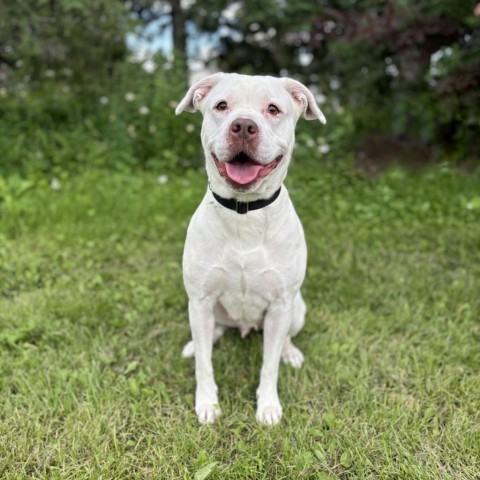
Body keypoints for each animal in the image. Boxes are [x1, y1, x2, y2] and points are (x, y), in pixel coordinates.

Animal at [176, 71, 326, 424]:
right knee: (210, 335)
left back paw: (290, 352)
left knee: (285, 337)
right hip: (205, 311)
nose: (243, 126)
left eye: (273, 109)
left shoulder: (281, 305)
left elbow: (269, 366)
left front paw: (268, 407)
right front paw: (207, 403)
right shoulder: (200, 300)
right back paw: (195, 345)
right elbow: (205, 365)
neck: (244, 214)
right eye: (221, 105)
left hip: (297, 309)